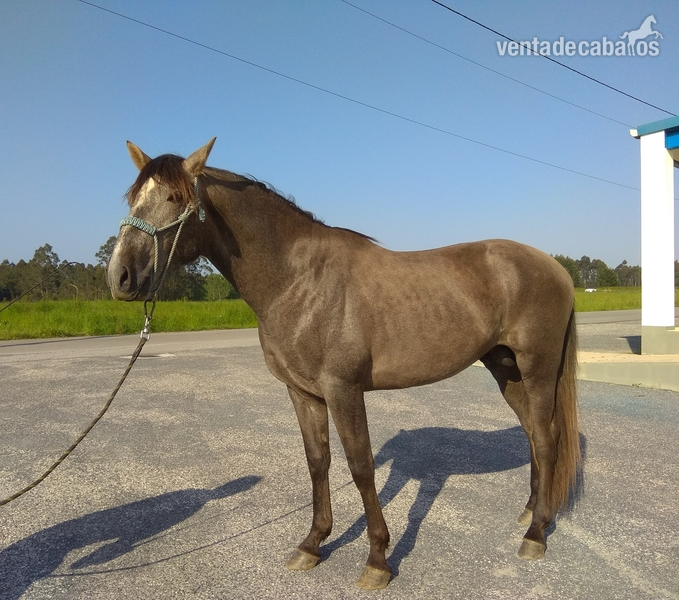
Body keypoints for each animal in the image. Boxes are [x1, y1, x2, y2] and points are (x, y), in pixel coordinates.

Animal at [107, 138, 581, 590]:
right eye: (132, 198)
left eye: (173, 197)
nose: (120, 277)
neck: (298, 280)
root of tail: (555, 268)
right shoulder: (303, 392)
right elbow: (318, 463)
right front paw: (312, 544)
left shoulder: (343, 389)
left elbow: (361, 467)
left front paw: (377, 561)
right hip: (506, 370)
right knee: (533, 435)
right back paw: (530, 514)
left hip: (537, 369)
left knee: (546, 438)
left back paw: (536, 534)